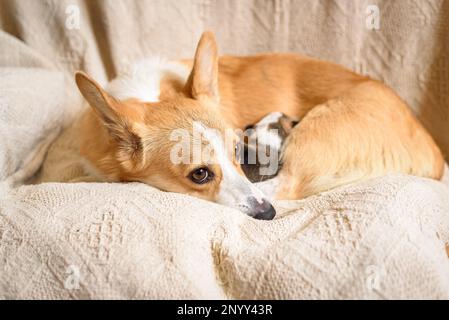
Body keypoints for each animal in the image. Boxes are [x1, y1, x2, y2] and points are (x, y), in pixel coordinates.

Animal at [75, 30, 442, 220]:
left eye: (238, 150)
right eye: (200, 174)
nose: (268, 214)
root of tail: (435, 155)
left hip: (309, 137)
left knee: (288, 183)